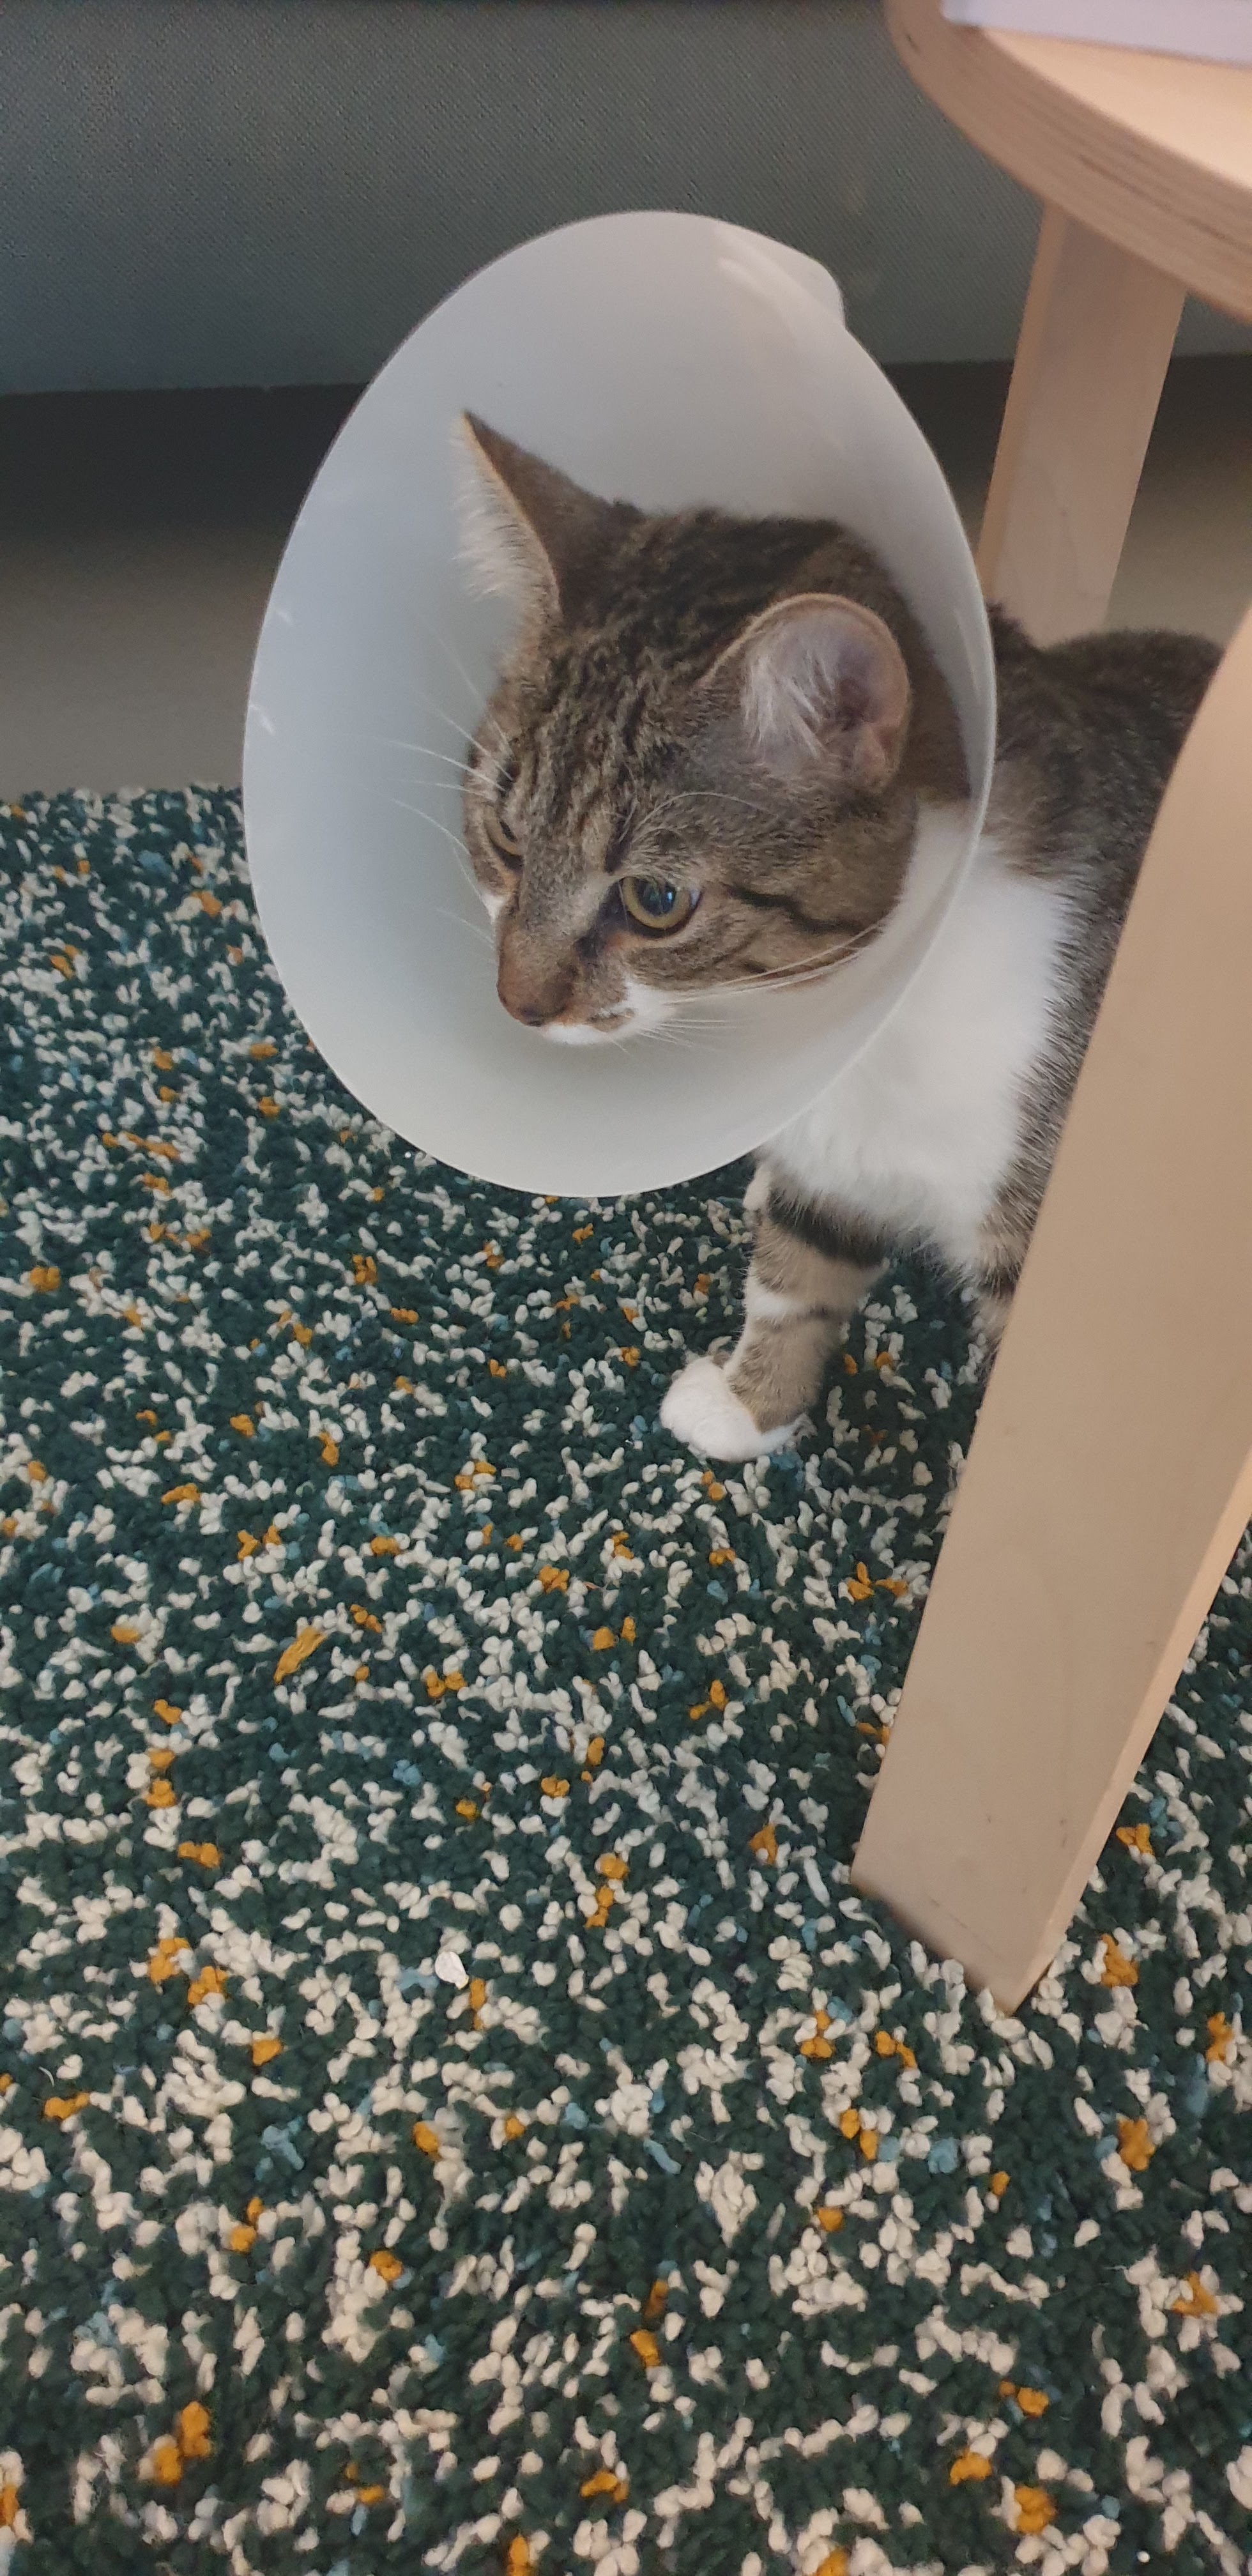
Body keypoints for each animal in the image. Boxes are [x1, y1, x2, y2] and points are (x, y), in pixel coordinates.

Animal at [457, 411, 1218, 1460]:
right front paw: (746, 1406)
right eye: (504, 837)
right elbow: (796, 1272)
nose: (515, 1003)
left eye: (656, 899)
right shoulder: (830, 1166)